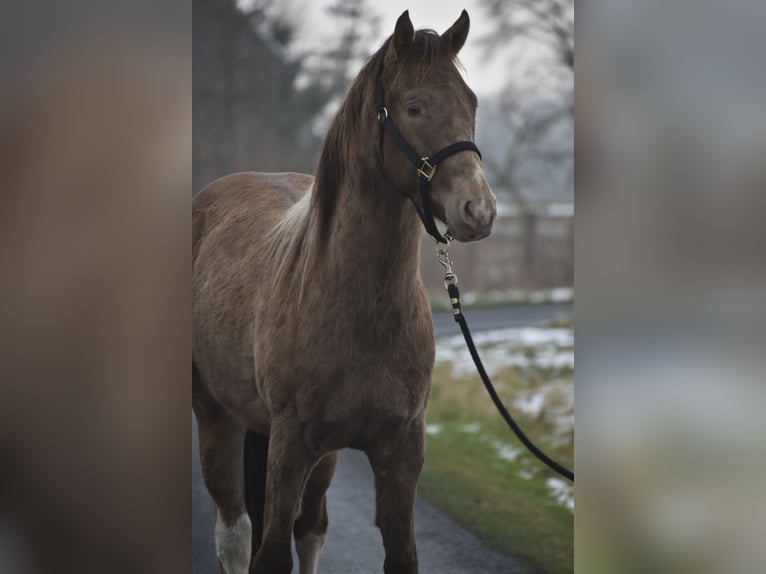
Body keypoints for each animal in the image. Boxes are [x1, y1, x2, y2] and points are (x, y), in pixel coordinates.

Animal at [192, 10, 496, 574]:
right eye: (415, 106)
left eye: (471, 103)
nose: (479, 211)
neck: (357, 305)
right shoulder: (288, 448)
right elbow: (269, 553)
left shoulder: (401, 450)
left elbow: (398, 553)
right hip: (218, 417)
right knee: (235, 531)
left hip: (320, 454)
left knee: (312, 527)